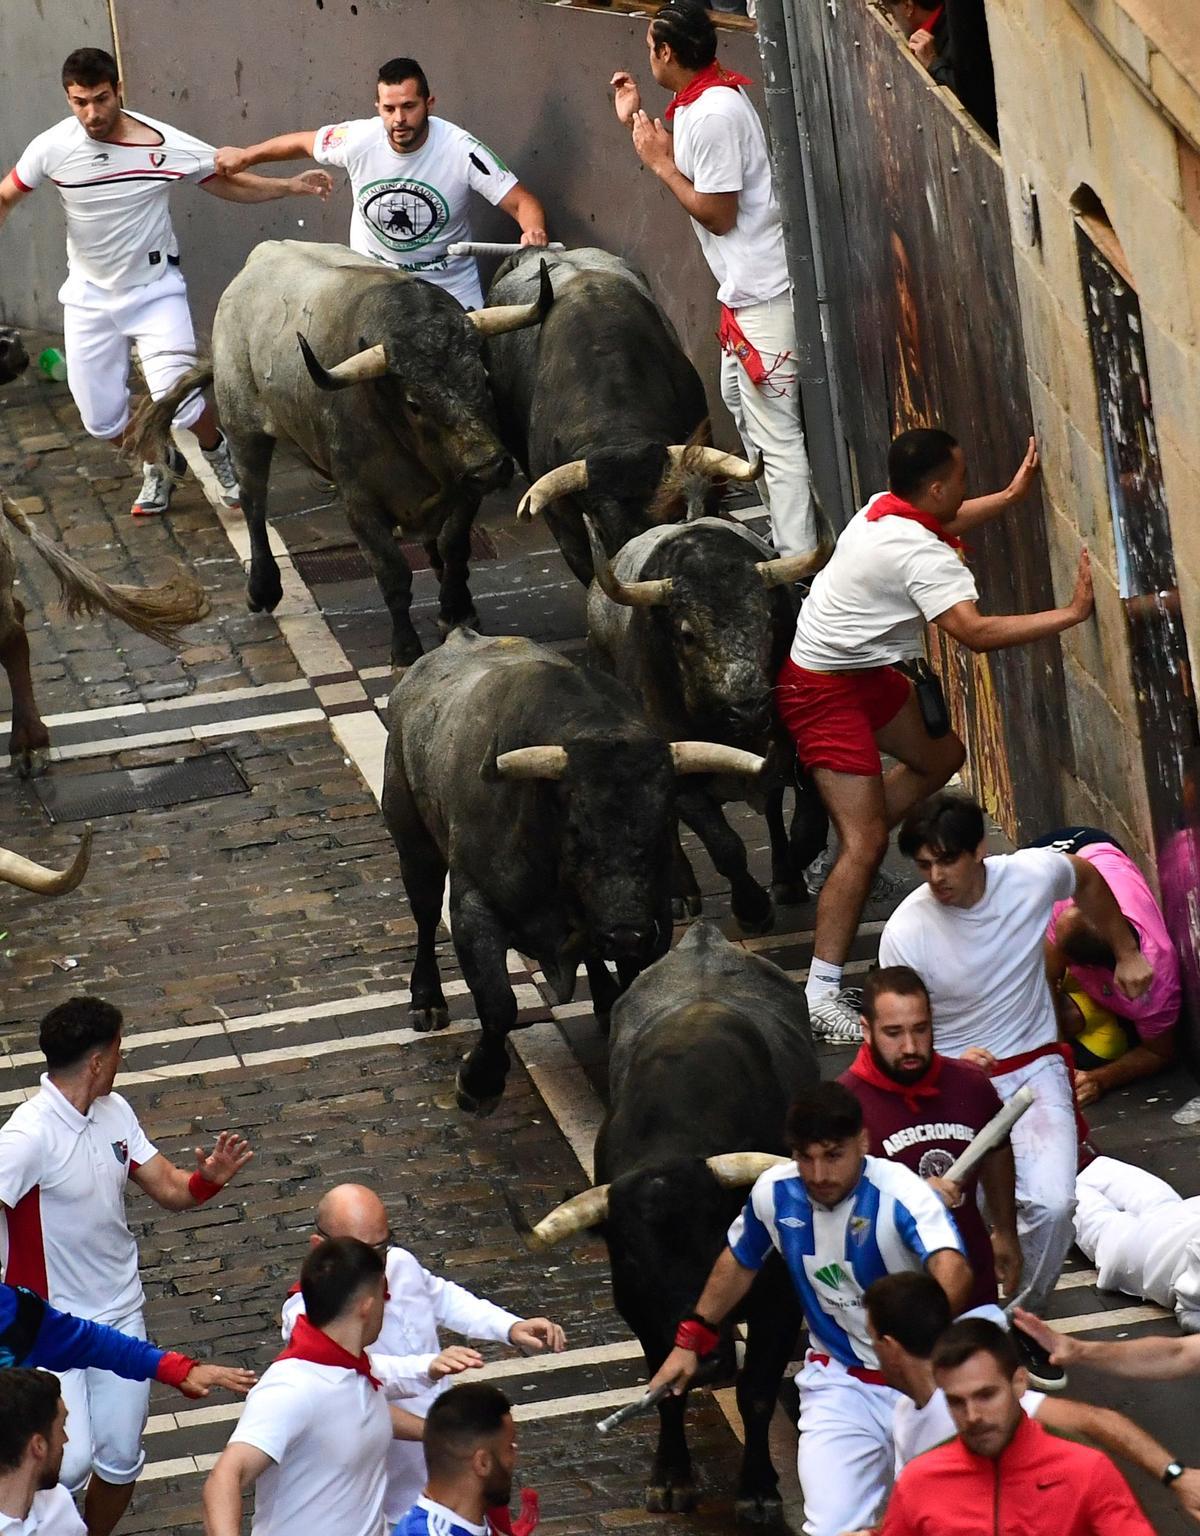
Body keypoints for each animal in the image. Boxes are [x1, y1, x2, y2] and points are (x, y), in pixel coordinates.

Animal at [133, 241, 556, 666]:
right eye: (414, 402)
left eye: (483, 378)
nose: (490, 467)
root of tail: (260, 256)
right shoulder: (361, 504)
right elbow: (392, 572)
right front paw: (405, 649)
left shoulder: (463, 487)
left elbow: (453, 546)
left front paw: (457, 611)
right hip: (244, 430)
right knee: (253, 503)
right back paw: (262, 588)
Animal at [379, 629, 762, 1112]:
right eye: (576, 829)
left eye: (664, 821)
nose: (626, 933)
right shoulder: (473, 909)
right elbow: (498, 1004)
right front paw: (478, 1083)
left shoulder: (654, 914)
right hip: (413, 843)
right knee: (426, 915)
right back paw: (427, 999)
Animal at [531, 915, 817, 1517]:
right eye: (634, 1258)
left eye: (722, 1245)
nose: (708, 1361)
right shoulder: (641, 1310)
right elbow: (665, 1390)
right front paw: (670, 1476)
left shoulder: (779, 1300)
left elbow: (757, 1394)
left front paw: (759, 1488)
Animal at [583, 516, 829, 927]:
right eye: (687, 634)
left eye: (767, 619)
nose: (749, 708)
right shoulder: (681, 779)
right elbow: (725, 846)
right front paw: (751, 908)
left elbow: (807, 826)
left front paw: (789, 877)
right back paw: (679, 895)